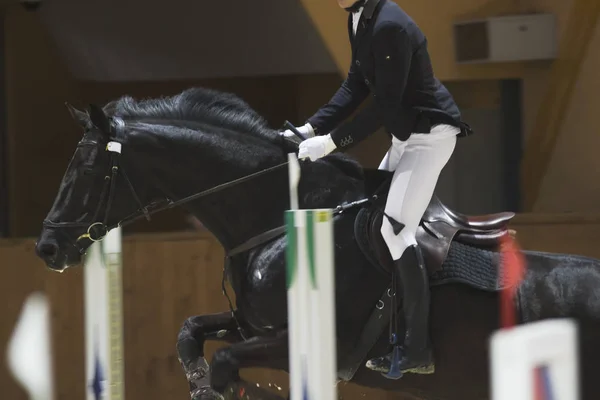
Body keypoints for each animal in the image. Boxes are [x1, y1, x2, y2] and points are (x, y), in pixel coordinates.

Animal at [36, 88, 600, 400]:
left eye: (87, 169)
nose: (47, 248)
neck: (278, 217)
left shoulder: (309, 340)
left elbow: (224, 361)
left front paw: (229, 388)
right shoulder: (254, 324)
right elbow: (191, 333)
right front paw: (202, 383)